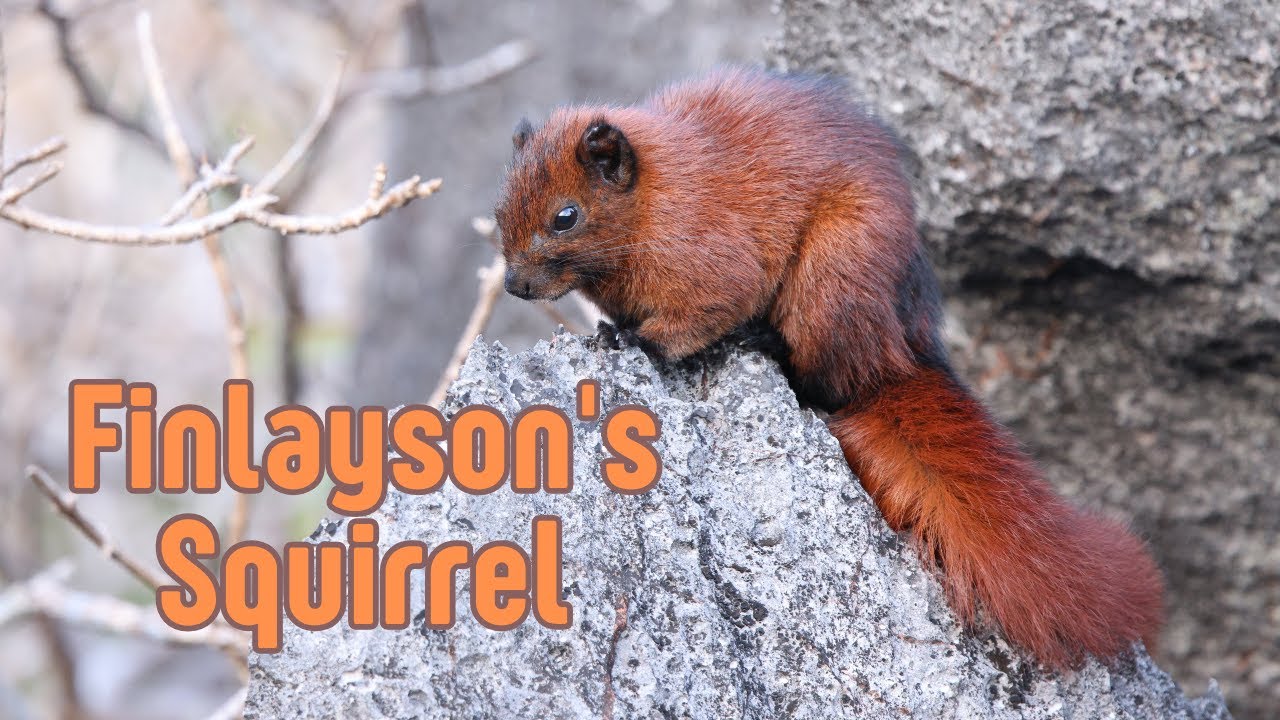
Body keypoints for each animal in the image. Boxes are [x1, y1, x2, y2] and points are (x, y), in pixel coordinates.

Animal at [493, 66, 1164, 670]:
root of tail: (900, 352)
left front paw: (632, 341)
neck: (656, 201)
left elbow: (695, 318)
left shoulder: (713, 265)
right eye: (500, 208)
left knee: (824, 378)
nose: (514, 286)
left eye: (566, 216)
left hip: (832, 275)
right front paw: (607, 329)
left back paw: (762, 343)